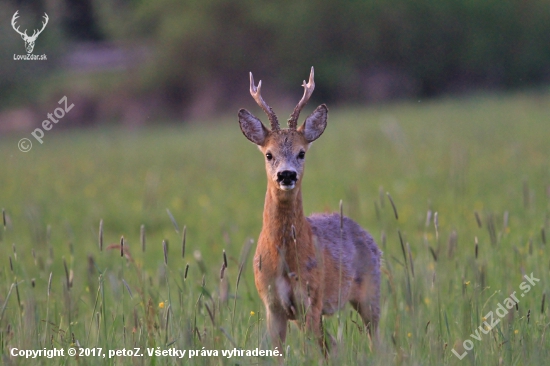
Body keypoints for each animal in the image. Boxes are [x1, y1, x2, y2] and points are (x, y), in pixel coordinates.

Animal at [237, 66, 384, 354]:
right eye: (269, 154)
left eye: (302, 152)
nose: (286, 175)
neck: (283, 260)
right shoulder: (273, 305)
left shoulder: (311, 301)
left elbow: (312, 353)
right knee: (334, 344)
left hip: (371, 290)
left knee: (376, 339)